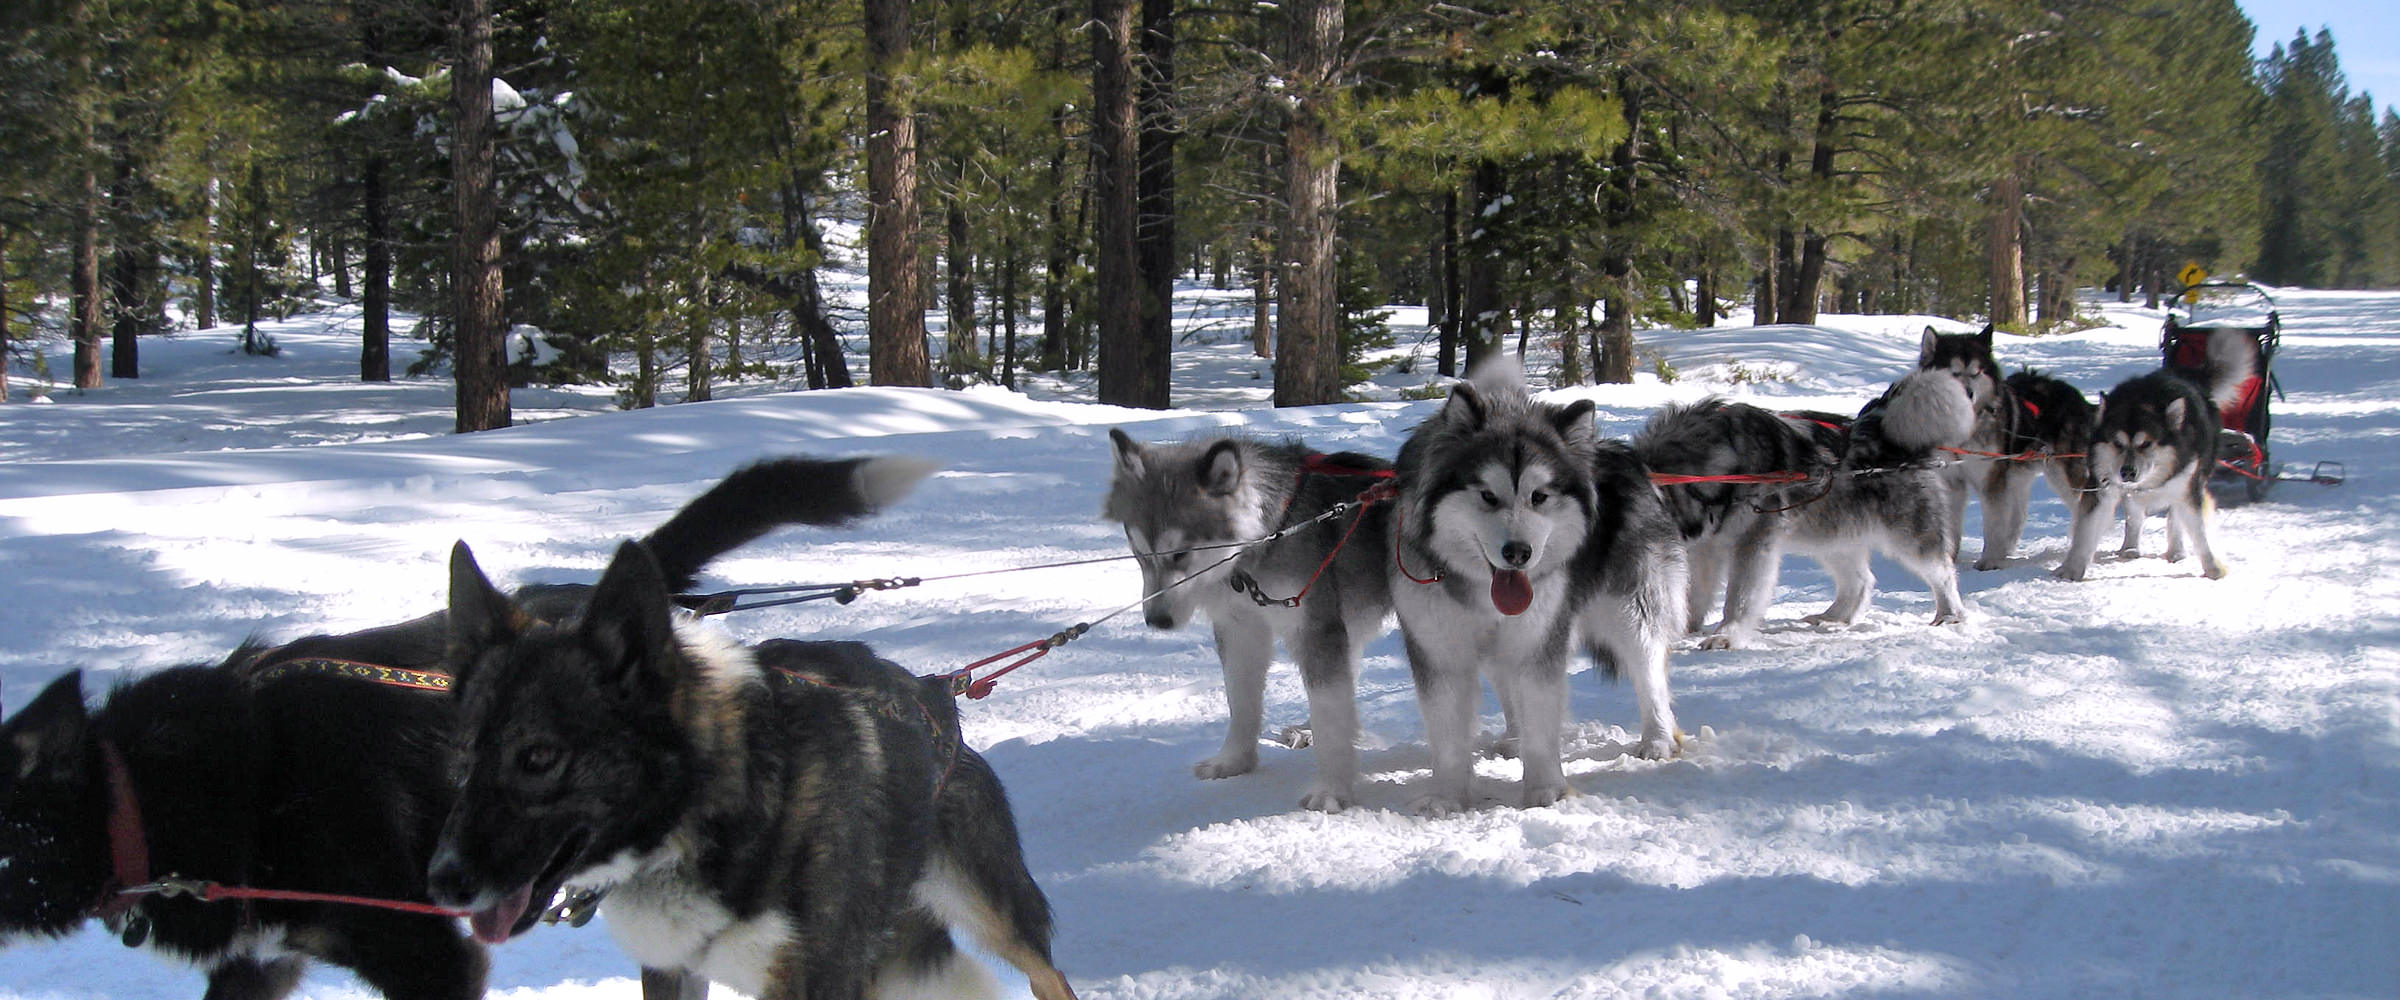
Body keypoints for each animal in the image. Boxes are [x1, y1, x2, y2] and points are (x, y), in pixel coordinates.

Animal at [1392, 362, 1689, 815]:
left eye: (1539, 496)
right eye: (1487, 496)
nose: (1518, 553)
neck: (1481, 588)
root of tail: (1626, 457)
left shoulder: (1538, 638)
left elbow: (1541, 716)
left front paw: (1547, 788)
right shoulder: (1440, 647)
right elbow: (1448, 734)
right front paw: (1447, 795)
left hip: (1630, 610)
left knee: (1648, 670)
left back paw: (1656, 739)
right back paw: (1514, 739)